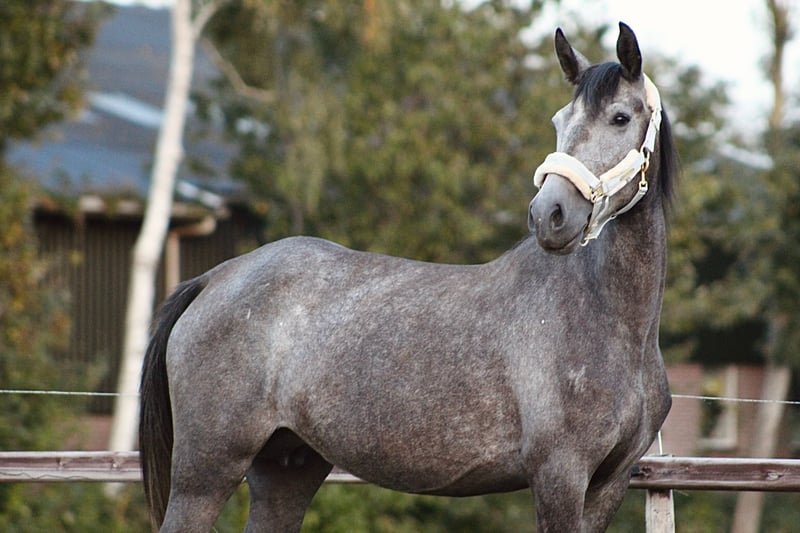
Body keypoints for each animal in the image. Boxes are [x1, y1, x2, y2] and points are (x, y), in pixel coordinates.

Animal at [139, 22, 677, 532]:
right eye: (559, 121)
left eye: (620, 118)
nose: (550, 215)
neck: (606, 319)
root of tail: (215, 278)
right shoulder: (558, 476)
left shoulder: (607, 485)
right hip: (206, 473)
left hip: (287, 467)